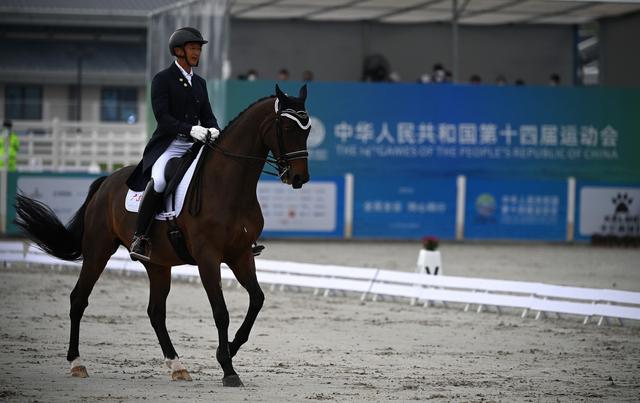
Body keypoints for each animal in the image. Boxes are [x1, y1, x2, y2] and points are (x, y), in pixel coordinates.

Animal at [13, 84, 312, 388]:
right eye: (288, 128)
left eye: (308, 129)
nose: (299, 178)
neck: (229, 185)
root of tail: (106, 182)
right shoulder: (208, 257)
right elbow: (221, 311)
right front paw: (228, 368)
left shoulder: (240, 255)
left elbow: (257, 299)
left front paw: (230, 348)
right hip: (98, 250)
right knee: (78, 299)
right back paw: (77, 363)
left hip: (157, 263)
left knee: (155, 312)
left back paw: (177, 366)